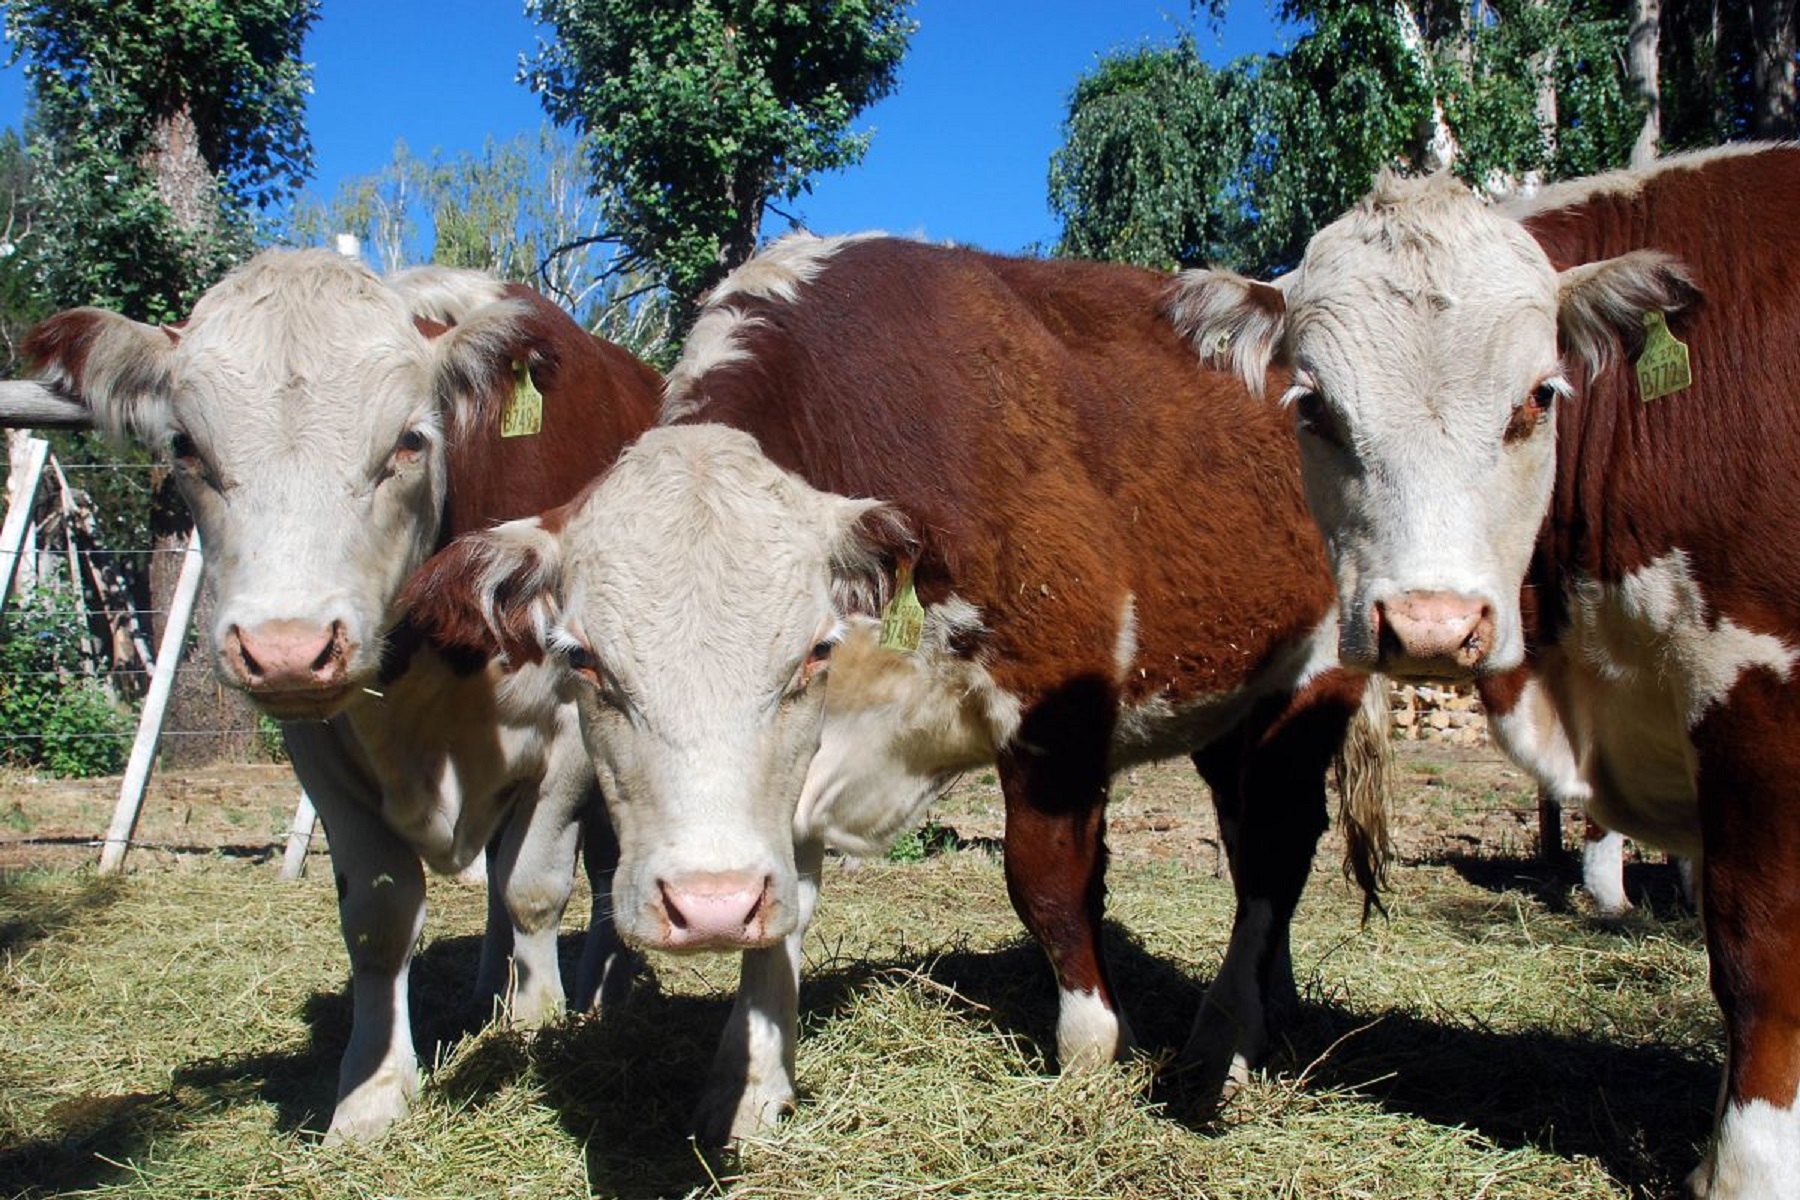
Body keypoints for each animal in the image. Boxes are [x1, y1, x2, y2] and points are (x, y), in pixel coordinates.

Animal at [22, 248, 662, 1144]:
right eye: (186, 446)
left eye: (410, 441)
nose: (286, 648)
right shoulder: (318, 747)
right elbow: (380, 916)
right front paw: (373, 1093)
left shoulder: (570, 724)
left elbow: (535, 885)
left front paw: (537, 1022)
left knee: (591, 869)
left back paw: (597, 984)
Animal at [405, 232, 1389, 1144]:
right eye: (582, 658)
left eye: (809, 649)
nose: (709, 906)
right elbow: (788, 908)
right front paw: (750, 1087)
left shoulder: (1056, 710)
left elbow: (1049, 883)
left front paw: (1089, 1055)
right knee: (1258, 845)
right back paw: (1268, 1006)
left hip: (1311, 684)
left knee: (1273, 851)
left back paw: (1224, 1041)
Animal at [1166, 143, 1800, 1200]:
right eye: (1313, 406)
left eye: (1539, 396)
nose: (1431, 627)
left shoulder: (1760, 683)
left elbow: (1759, 953)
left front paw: (1748, 1170)